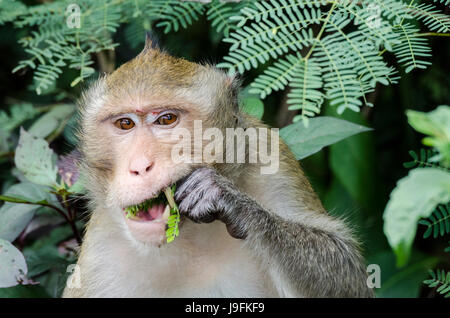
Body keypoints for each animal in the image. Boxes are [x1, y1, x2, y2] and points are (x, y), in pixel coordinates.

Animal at [62, 38, 372, 298]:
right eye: (125, 123)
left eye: (166, 119)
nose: (140, 166)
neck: (188, 239)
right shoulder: (100, 258)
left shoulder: (270, 158)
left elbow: (349, 266)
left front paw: (224, 199)